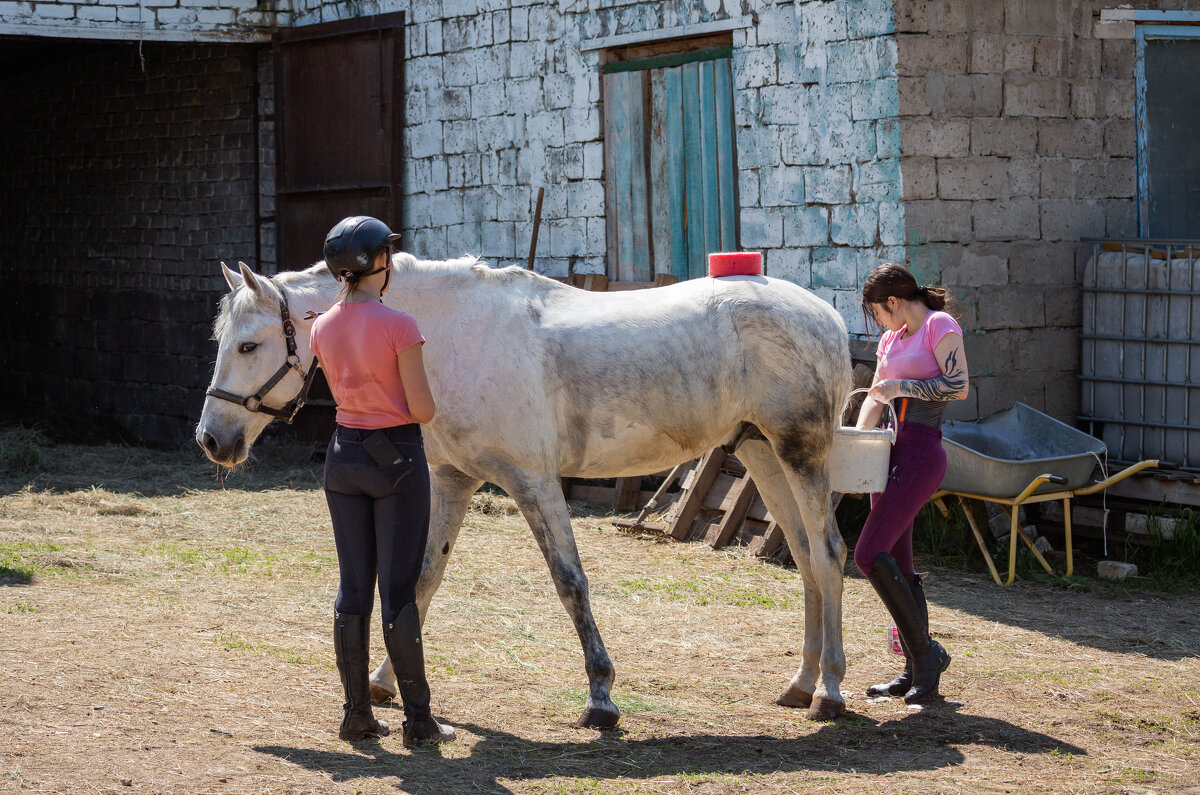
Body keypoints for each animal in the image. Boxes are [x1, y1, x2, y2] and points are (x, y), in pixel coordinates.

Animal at [196, 256, 854, 730]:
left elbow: (570, 581)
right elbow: (421, 581)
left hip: (802, 452)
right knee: (804, 558)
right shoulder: (453, 479)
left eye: (249, 345)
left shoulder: (533, 481)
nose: (211, 439)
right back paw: (800, 685)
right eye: (222, 342)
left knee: (827, 556)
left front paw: (600, 698)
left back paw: (830, 691)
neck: (450, 336)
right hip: (761, 452)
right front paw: (384, 683)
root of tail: (823, 314)